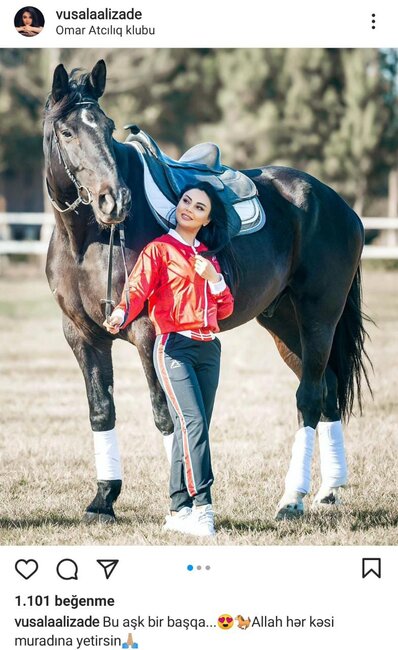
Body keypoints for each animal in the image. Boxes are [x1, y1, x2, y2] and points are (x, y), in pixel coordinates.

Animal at [43, 62, 370, 520]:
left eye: (107, 127)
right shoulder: (81, 336)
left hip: (318, 318)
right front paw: (104, 500)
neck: (86, 241)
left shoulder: (148, 334)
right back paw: (328, 489)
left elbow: (167, 414)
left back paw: (291, 498)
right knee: (326, 391)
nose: (116, 201)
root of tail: (338, 205)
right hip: (285, 325)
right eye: (68, 132)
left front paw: (182, 504)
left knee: (308, 398)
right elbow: (101, 411)